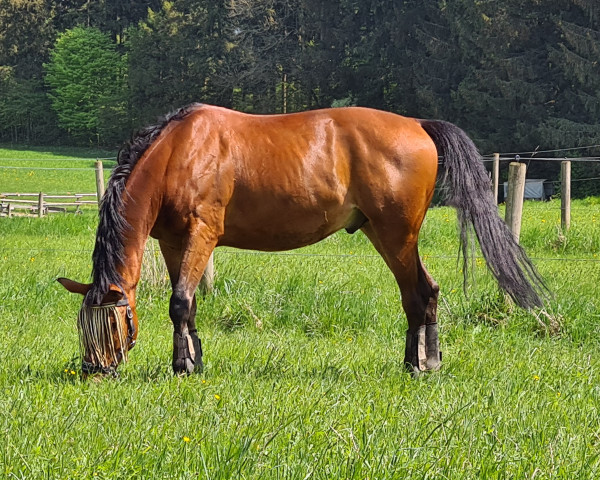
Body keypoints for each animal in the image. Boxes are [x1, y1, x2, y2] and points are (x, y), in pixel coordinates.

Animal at [58, 103, 548, 376]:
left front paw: (182, 367)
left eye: (112, 323)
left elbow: (179, 302)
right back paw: (417, 363)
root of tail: (417, 125)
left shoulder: (202, 234)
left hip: (398, 234)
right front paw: (195, 362)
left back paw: (425, 366)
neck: (179, 152)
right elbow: (189, 304)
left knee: (421, 292)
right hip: (383, 234)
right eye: (83, 326)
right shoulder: (174, 242)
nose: (94, 371)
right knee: (418, 295)